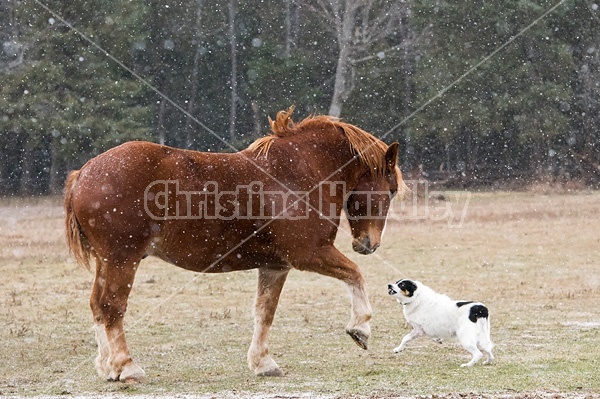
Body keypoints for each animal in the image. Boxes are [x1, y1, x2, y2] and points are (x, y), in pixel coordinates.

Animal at [64, 108, 404, 382]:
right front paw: (360, 328)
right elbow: (356, 274)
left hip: (107, 262)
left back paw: (108, 366)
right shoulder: (310, 254)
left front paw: (263, 363)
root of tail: (83, 173)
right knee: (112, 307)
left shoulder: (275, 266)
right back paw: (126, 366)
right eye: (390, 188)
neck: (300, 171)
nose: (368, 244)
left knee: (97, 306)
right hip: (122, 260)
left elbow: (265, 312)